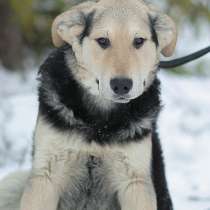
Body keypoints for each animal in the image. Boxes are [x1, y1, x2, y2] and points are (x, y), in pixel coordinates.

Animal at [0, 0, 177, 210]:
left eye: (139, 41)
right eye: (103, 41)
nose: (121, 85)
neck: (99, 125)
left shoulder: (135, 181)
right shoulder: (45, 177)